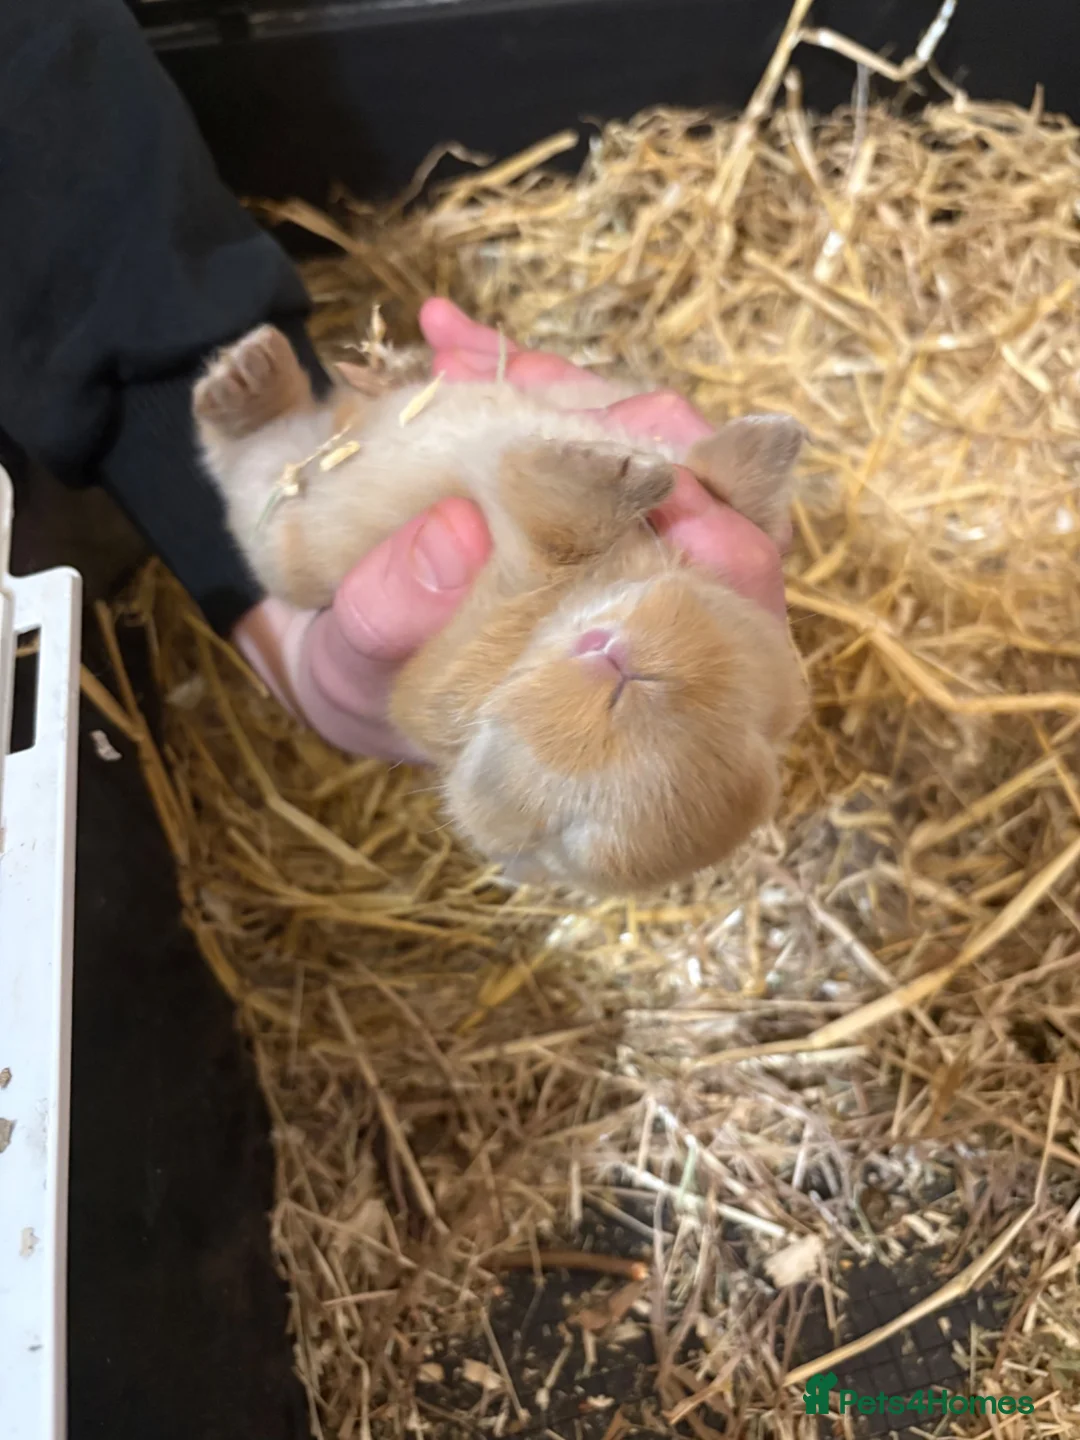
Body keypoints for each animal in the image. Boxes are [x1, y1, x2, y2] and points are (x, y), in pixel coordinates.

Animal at [192, 323, 808, 896]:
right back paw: (257, 374)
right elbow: (721, 485)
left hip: (288, 530)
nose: (621, 666)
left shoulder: (457, 664)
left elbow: (547, 530)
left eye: (568, 827)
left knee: (255, 465)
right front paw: (764, 440)